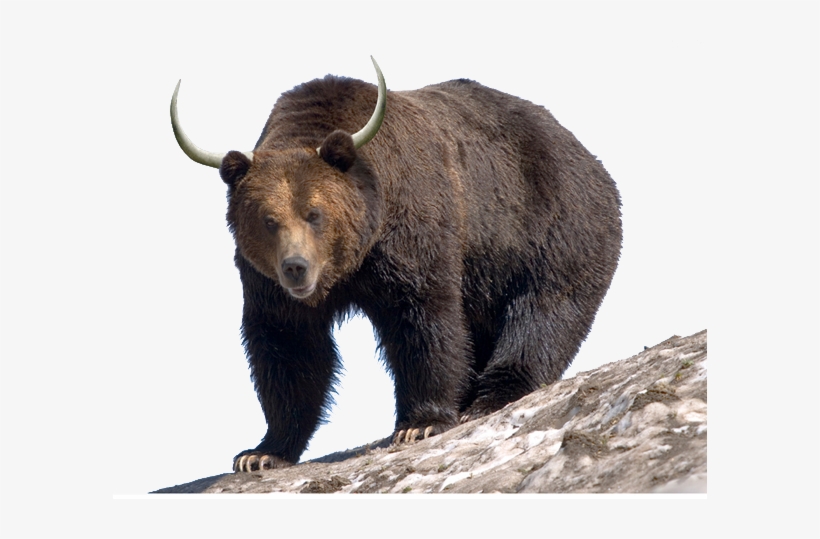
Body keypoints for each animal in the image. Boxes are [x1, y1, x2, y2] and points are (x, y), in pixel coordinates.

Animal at [170, 58, 622, 472]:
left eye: (314, 213)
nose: (296, 267)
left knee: (543, 310)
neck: (351, 262)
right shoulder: (265, 283)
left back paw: (492, 395)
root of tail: (583, 150)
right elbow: (288, 348)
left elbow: (424, 321)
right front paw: (263, 451)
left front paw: (420, 423)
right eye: (268, 219)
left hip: (550, 224)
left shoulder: (410, 238)